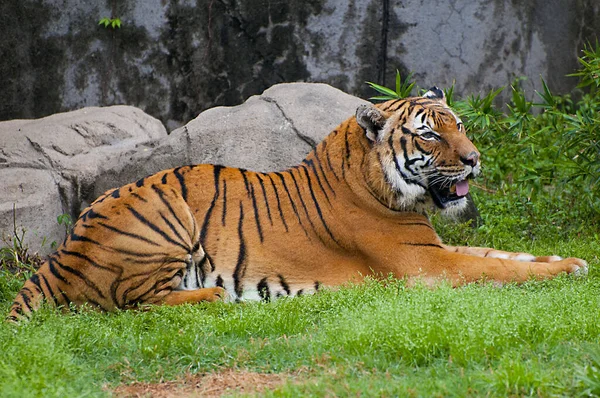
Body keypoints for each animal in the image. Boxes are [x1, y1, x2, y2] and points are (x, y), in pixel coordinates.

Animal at [5, 85, 584, 322]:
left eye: (459, 126)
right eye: (430, 136)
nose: (475, 160)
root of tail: (61, 253)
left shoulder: (436, 248)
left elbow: (503, 256)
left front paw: (573, 261)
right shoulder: (426, 264)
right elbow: (499, 269)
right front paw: (564, 271)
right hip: (162, 213)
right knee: (132, 302)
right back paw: (218, 298)